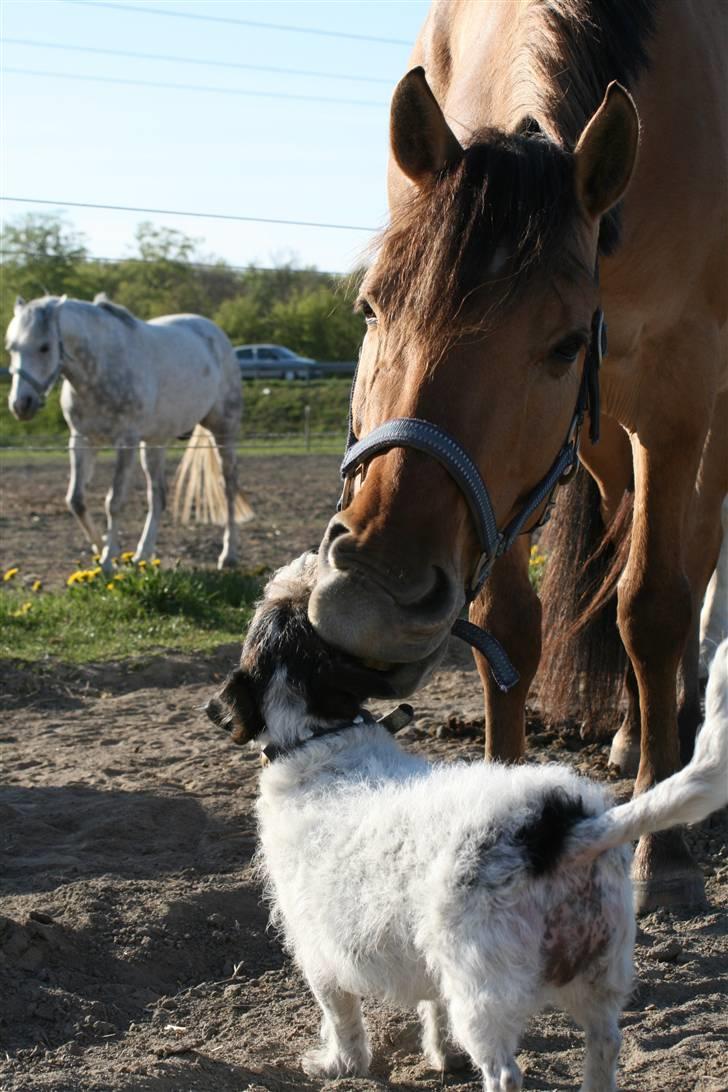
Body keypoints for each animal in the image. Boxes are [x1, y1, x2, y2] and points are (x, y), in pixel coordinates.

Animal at [5, 297, 253, 572]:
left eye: (45, 347)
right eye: (12, 348)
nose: (21, 404)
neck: (99, 368)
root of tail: (215, 332)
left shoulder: (126, 442)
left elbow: (114, 501)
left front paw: (107, 561)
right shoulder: (82, 440)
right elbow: (76, 500)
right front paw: (102, 549)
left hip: (224, 430)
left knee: (228, 487)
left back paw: (228, 555)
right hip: (155, 442)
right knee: (158, 496)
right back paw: (143, 554)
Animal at [205, 554, 728, 1092]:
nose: (312, 563)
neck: (319, 736)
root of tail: (560, 833)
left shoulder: (320, 954)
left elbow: (342, 1018)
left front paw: (338, 1065)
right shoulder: (429, 963)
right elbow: (432, 1007)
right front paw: (443, 1057)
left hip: (485, 992)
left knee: (506, 1073)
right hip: (601, 974)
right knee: (605, 1045)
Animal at [309, 0, 728, 912]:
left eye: (565, 343)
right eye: (370, 307)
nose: (376, 590)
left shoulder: (678, 395)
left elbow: (654, 606)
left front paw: (666, 854)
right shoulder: (511, 491)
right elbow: (507, 627)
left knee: (695, 563)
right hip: (601, 444)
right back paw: (632, 739)